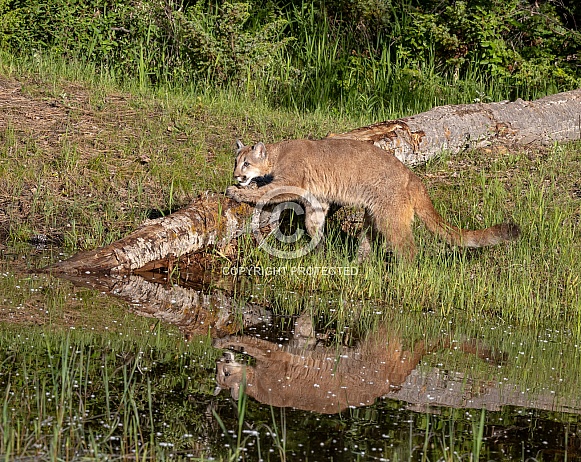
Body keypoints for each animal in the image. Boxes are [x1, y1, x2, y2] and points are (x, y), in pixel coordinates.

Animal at [224, 137, 520, 260]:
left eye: (246, 163)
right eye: (236, 162)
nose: (236, 175)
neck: (277, 154)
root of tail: (414, 178)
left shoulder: (289, 182)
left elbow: (264, 192)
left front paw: (238, 192)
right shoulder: (317, 199)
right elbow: (313, 223)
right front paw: (318, 248)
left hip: (391, 217)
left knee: (408, 247)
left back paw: (404, 274)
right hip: (373, 216)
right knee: (369, 242)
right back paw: (357, 264)